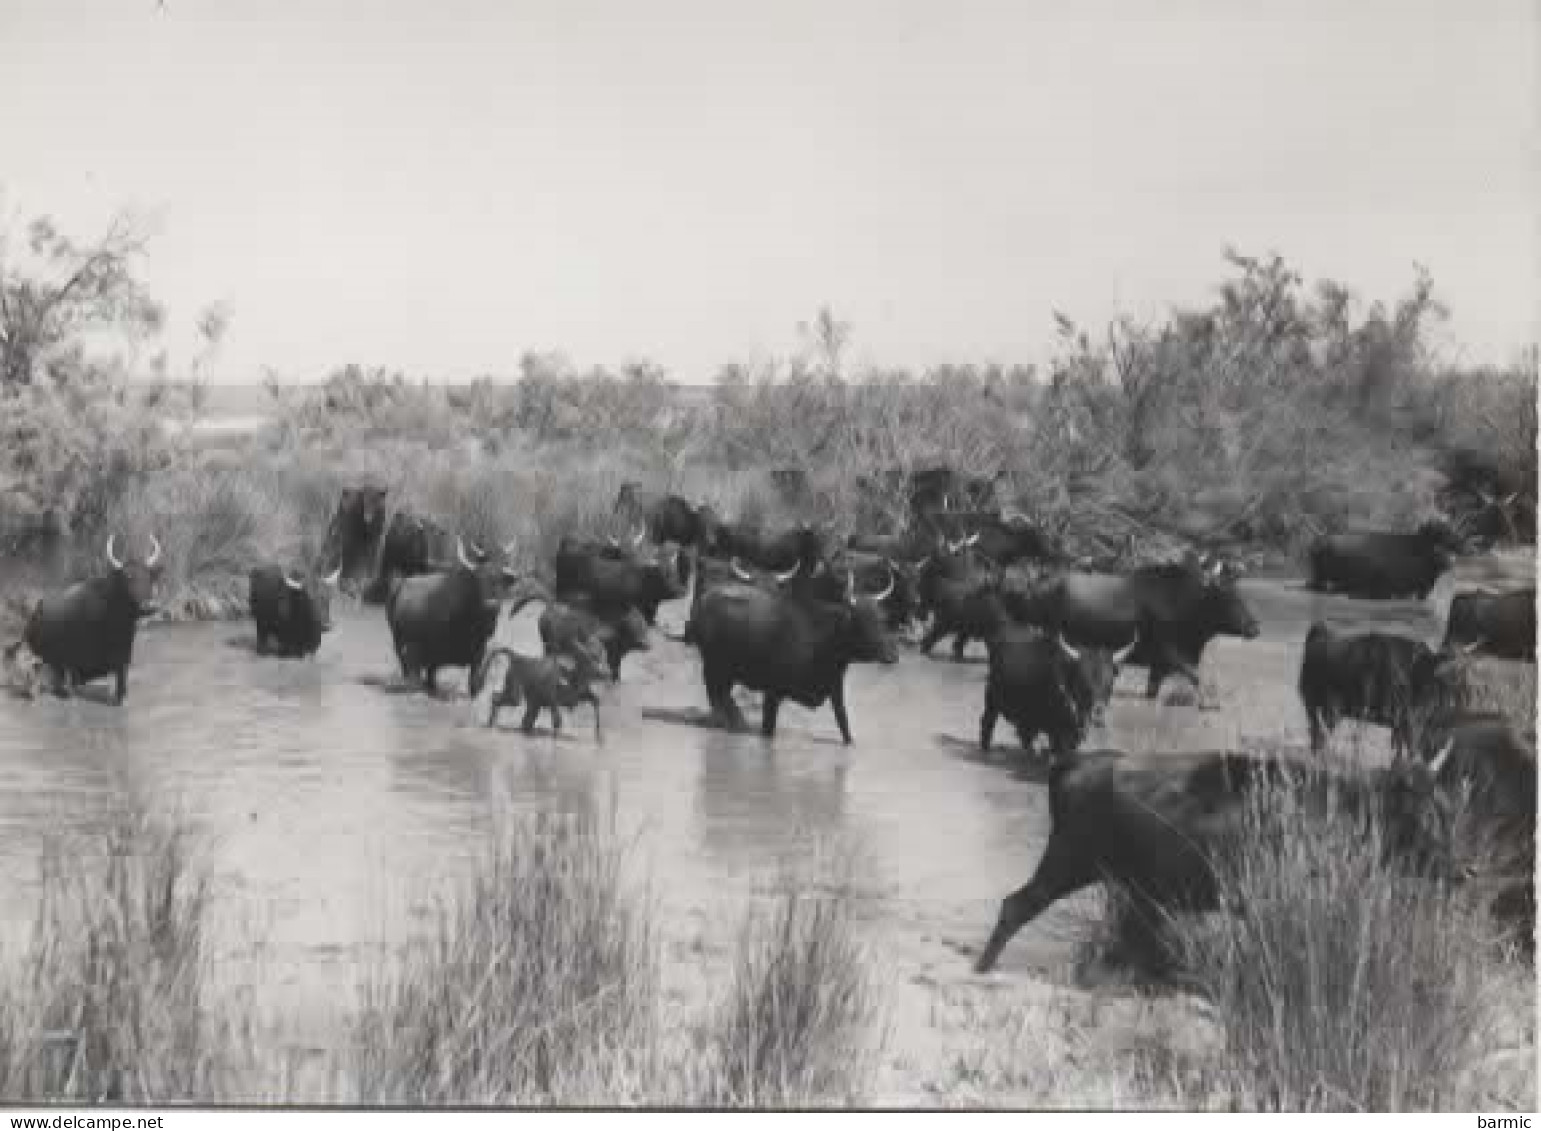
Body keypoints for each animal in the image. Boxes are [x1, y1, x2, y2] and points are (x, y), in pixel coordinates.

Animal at [973, 751, 1454, 973]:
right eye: (1421, 812)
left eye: (1444, 807)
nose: (1462, 869)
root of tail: (1085, 760)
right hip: (1067, 864)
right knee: (1016, 905)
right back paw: (983, 967)